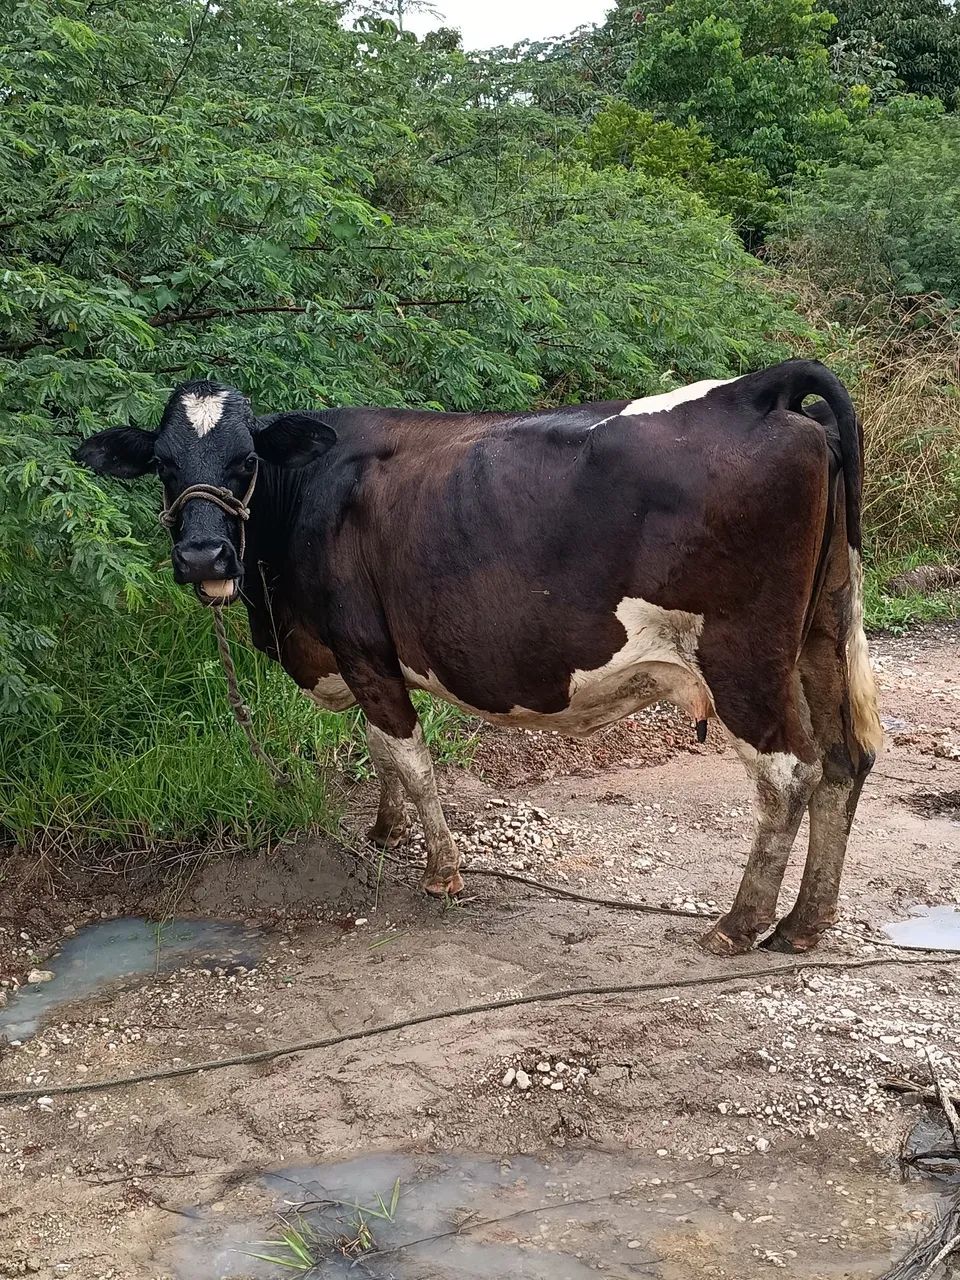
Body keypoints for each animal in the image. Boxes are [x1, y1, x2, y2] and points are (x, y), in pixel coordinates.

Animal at [76, 359, 882, 956]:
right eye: (162, 464)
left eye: (245, 459)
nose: (202, 555)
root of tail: (758, 391)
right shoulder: (364, 659)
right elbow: (381, 750)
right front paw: (384, 833)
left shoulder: (363, 649)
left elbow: (410, 757)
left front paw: (441, 871)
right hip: (821, 634)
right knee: (846, 761)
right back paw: (805, 923)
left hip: (742, 655)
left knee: (790, 773)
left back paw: (738, 926)